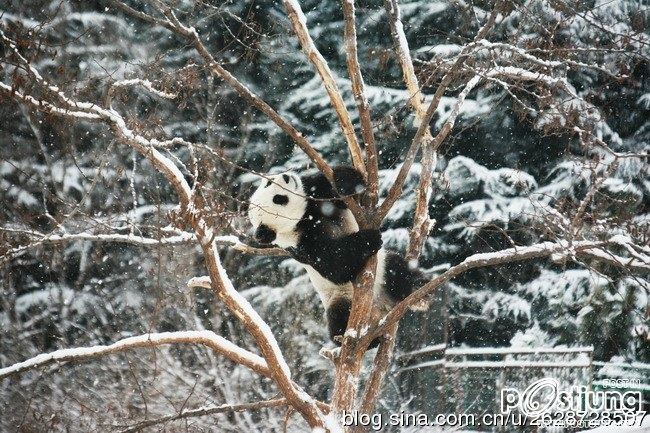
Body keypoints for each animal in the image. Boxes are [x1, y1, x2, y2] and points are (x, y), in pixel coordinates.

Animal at [247, 166, 427, 348]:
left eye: (268, 182)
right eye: (279, 198)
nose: (286, 176)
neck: (304, 218)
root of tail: (379, 310)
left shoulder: (314, 197)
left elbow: (337, 184)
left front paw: (343, 184)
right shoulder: (301, 245)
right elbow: (336, 265)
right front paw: (369, 239)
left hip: (382, 272)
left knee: (397, 270)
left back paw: (419, 290)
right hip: (340, 297)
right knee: (338, 316)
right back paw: (367, 340)